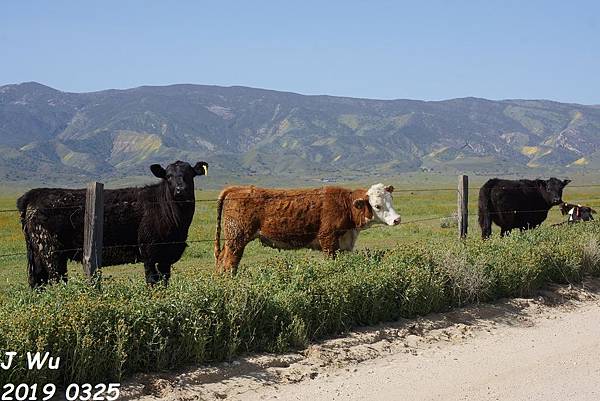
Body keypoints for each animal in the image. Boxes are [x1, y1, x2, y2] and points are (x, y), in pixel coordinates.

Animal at [17, 159, 209, 288]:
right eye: (168, 176)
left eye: (189, 174)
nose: (180, 190)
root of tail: (34, 194)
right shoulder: (148, 251)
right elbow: (152, 281)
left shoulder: (166, 256)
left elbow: (165, 281)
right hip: (50, 250)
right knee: (56, 280)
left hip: (39, 253)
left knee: (38, 283)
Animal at [213, 183, 400, 274]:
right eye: (377, 206)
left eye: (391, 199)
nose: (397, 219)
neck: (345, 205)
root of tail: (237, 188)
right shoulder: (328, 240)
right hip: (237, 239)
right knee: (230, 263)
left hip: (231, 241)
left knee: (222, 259)